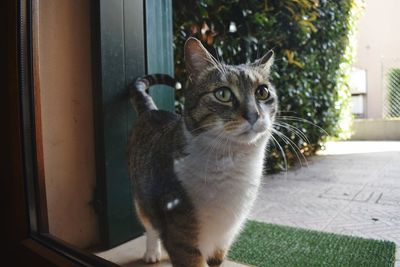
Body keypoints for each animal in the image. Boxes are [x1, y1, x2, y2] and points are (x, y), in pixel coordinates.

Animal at [129, 37, 278, 267]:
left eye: (262, 92)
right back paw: (152, 252)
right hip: (141, 195)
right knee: (150, 224)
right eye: (223, 94)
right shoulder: (181, 235)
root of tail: (153, 111)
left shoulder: (224, 237)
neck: (229, 164)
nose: (253, 114)